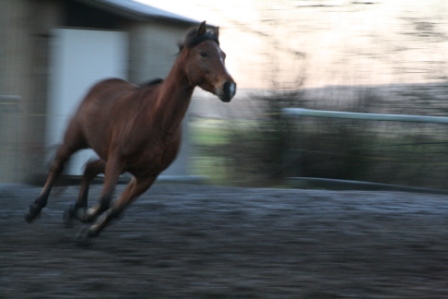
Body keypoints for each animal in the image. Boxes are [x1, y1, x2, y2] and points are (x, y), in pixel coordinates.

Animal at [25, 21, 236, 241]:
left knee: (90, 167)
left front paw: (87, 229)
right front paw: (84, 218)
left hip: (109, 158)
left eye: (223, 55)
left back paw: (77, 208)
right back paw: (35, 209)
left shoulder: (146, 176)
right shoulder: (118, 160)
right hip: (76, 139)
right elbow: (106, 201)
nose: (229, 87)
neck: (159, 122)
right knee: (58, 165)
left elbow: (116, 209)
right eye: (203, 53)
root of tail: (101, 85)